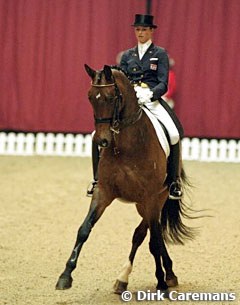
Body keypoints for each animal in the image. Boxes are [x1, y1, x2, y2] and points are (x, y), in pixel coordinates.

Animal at [55, 63, 195, 294]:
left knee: (147, 234)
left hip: (156, 200)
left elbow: (153, 241)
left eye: (111, 97)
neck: (124, 146)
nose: (102, 141)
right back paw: (129, 278)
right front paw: (65, 276)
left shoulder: (150, 196)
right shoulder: (103, 191)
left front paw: (160, 282)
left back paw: (164, 276)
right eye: (90, 97)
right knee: (148, 232)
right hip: (142, 205)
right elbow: (84, 230)